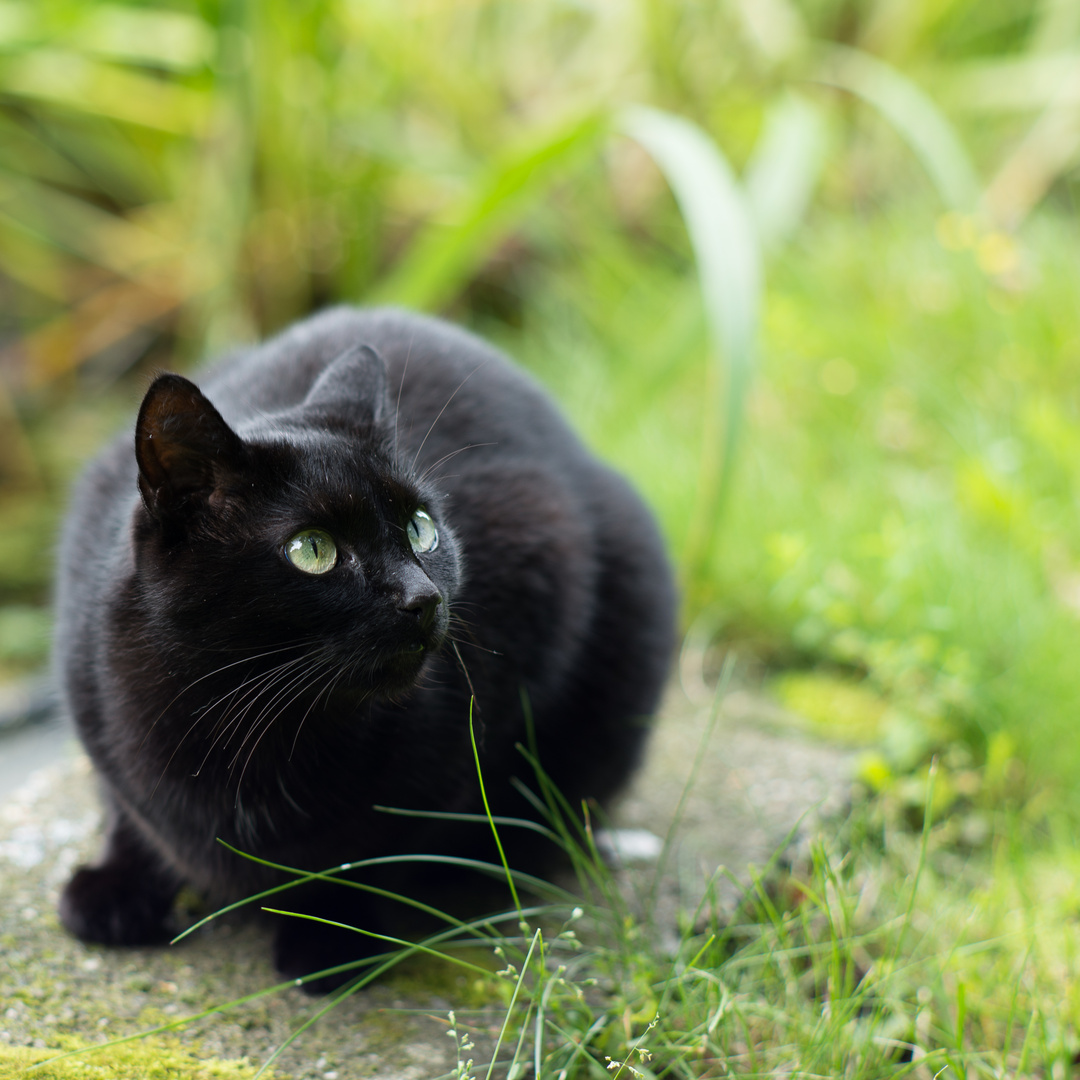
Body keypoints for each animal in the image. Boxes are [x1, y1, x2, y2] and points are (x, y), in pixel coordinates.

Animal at [54, 308, 673, 989]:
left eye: (422, 529)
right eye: (312, 550)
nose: (424, 596)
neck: (242, 724)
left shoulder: (541, 557)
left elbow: (374, 846)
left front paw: (332, 931)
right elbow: (127, 809)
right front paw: (115, 887)